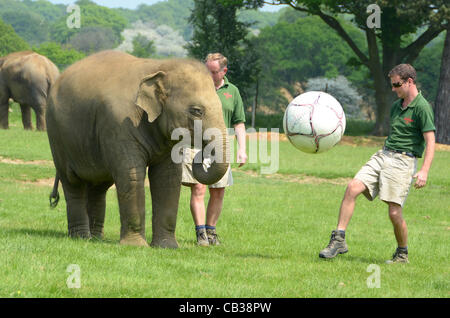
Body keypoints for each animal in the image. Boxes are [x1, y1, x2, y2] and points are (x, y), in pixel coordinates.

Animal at [46, 50, 229, 248]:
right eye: (196, 111)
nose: (202, 153)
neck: (159, 66)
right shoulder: (119, 124)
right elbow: (131, 176)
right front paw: (135, 246)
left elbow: (168, 179)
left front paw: (167, 247)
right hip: (57, 137)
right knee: (72, 183)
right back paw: (81, 237)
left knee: (99, 186)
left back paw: (96, 238)